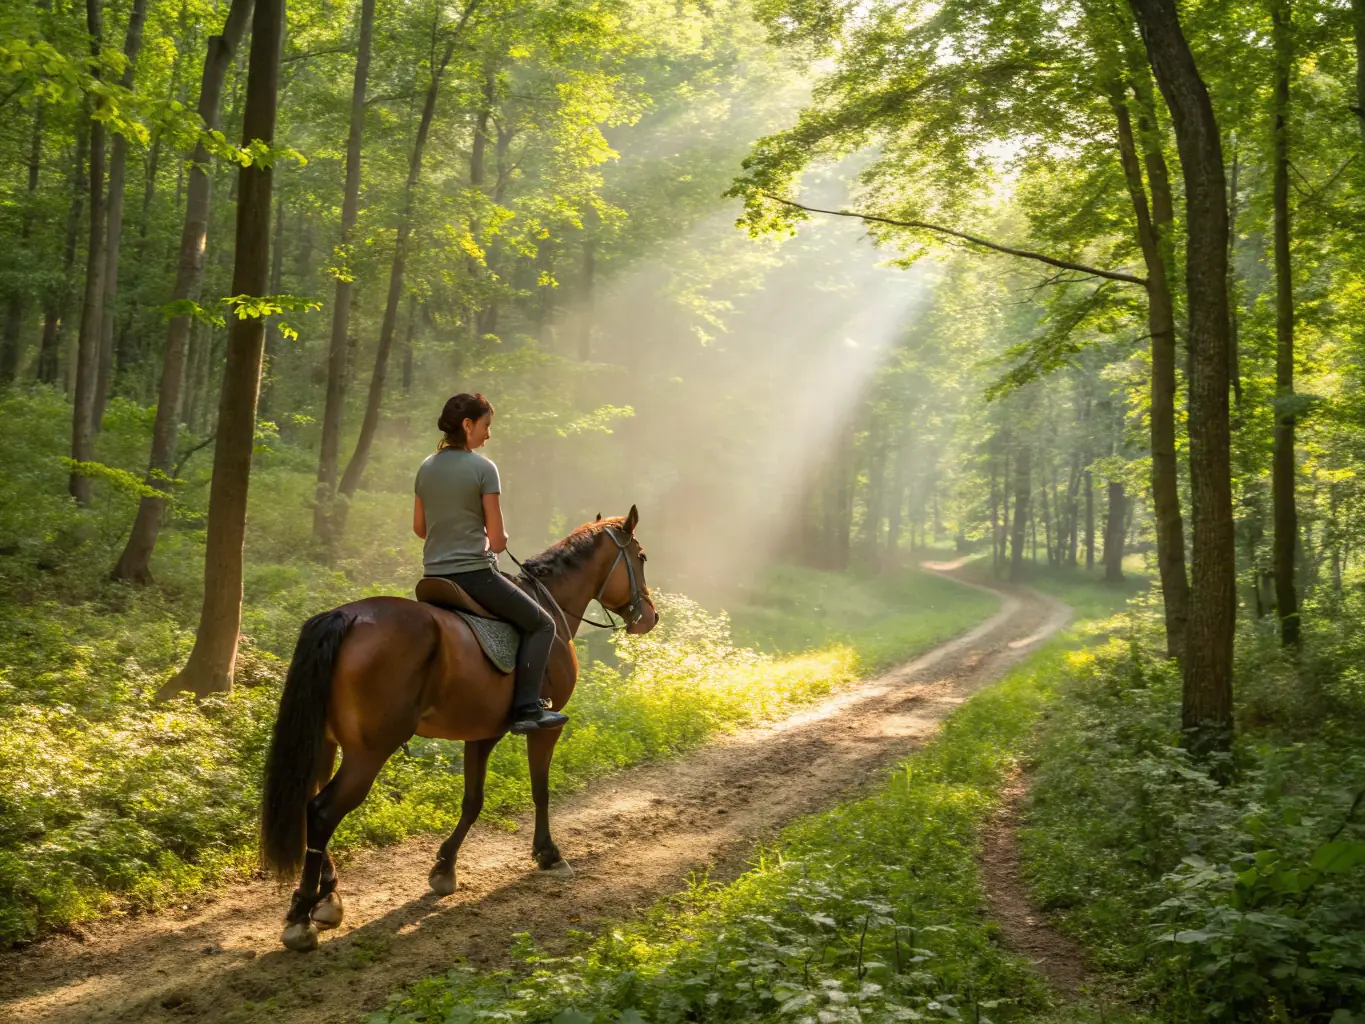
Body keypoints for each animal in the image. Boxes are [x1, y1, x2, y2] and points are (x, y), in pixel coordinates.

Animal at [258, 506, 658, 952]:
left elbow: (472, 800)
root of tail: (348, 616)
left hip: (328, 744)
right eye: (641, 557)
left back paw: (327, 897)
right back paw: (302, 915)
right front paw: (549, 854)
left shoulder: (481, 732)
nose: (650, 617)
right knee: (322, 811)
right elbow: (540, 790)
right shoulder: (545, 728)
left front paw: (445, 867)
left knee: (309, 801)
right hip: (369, 751)